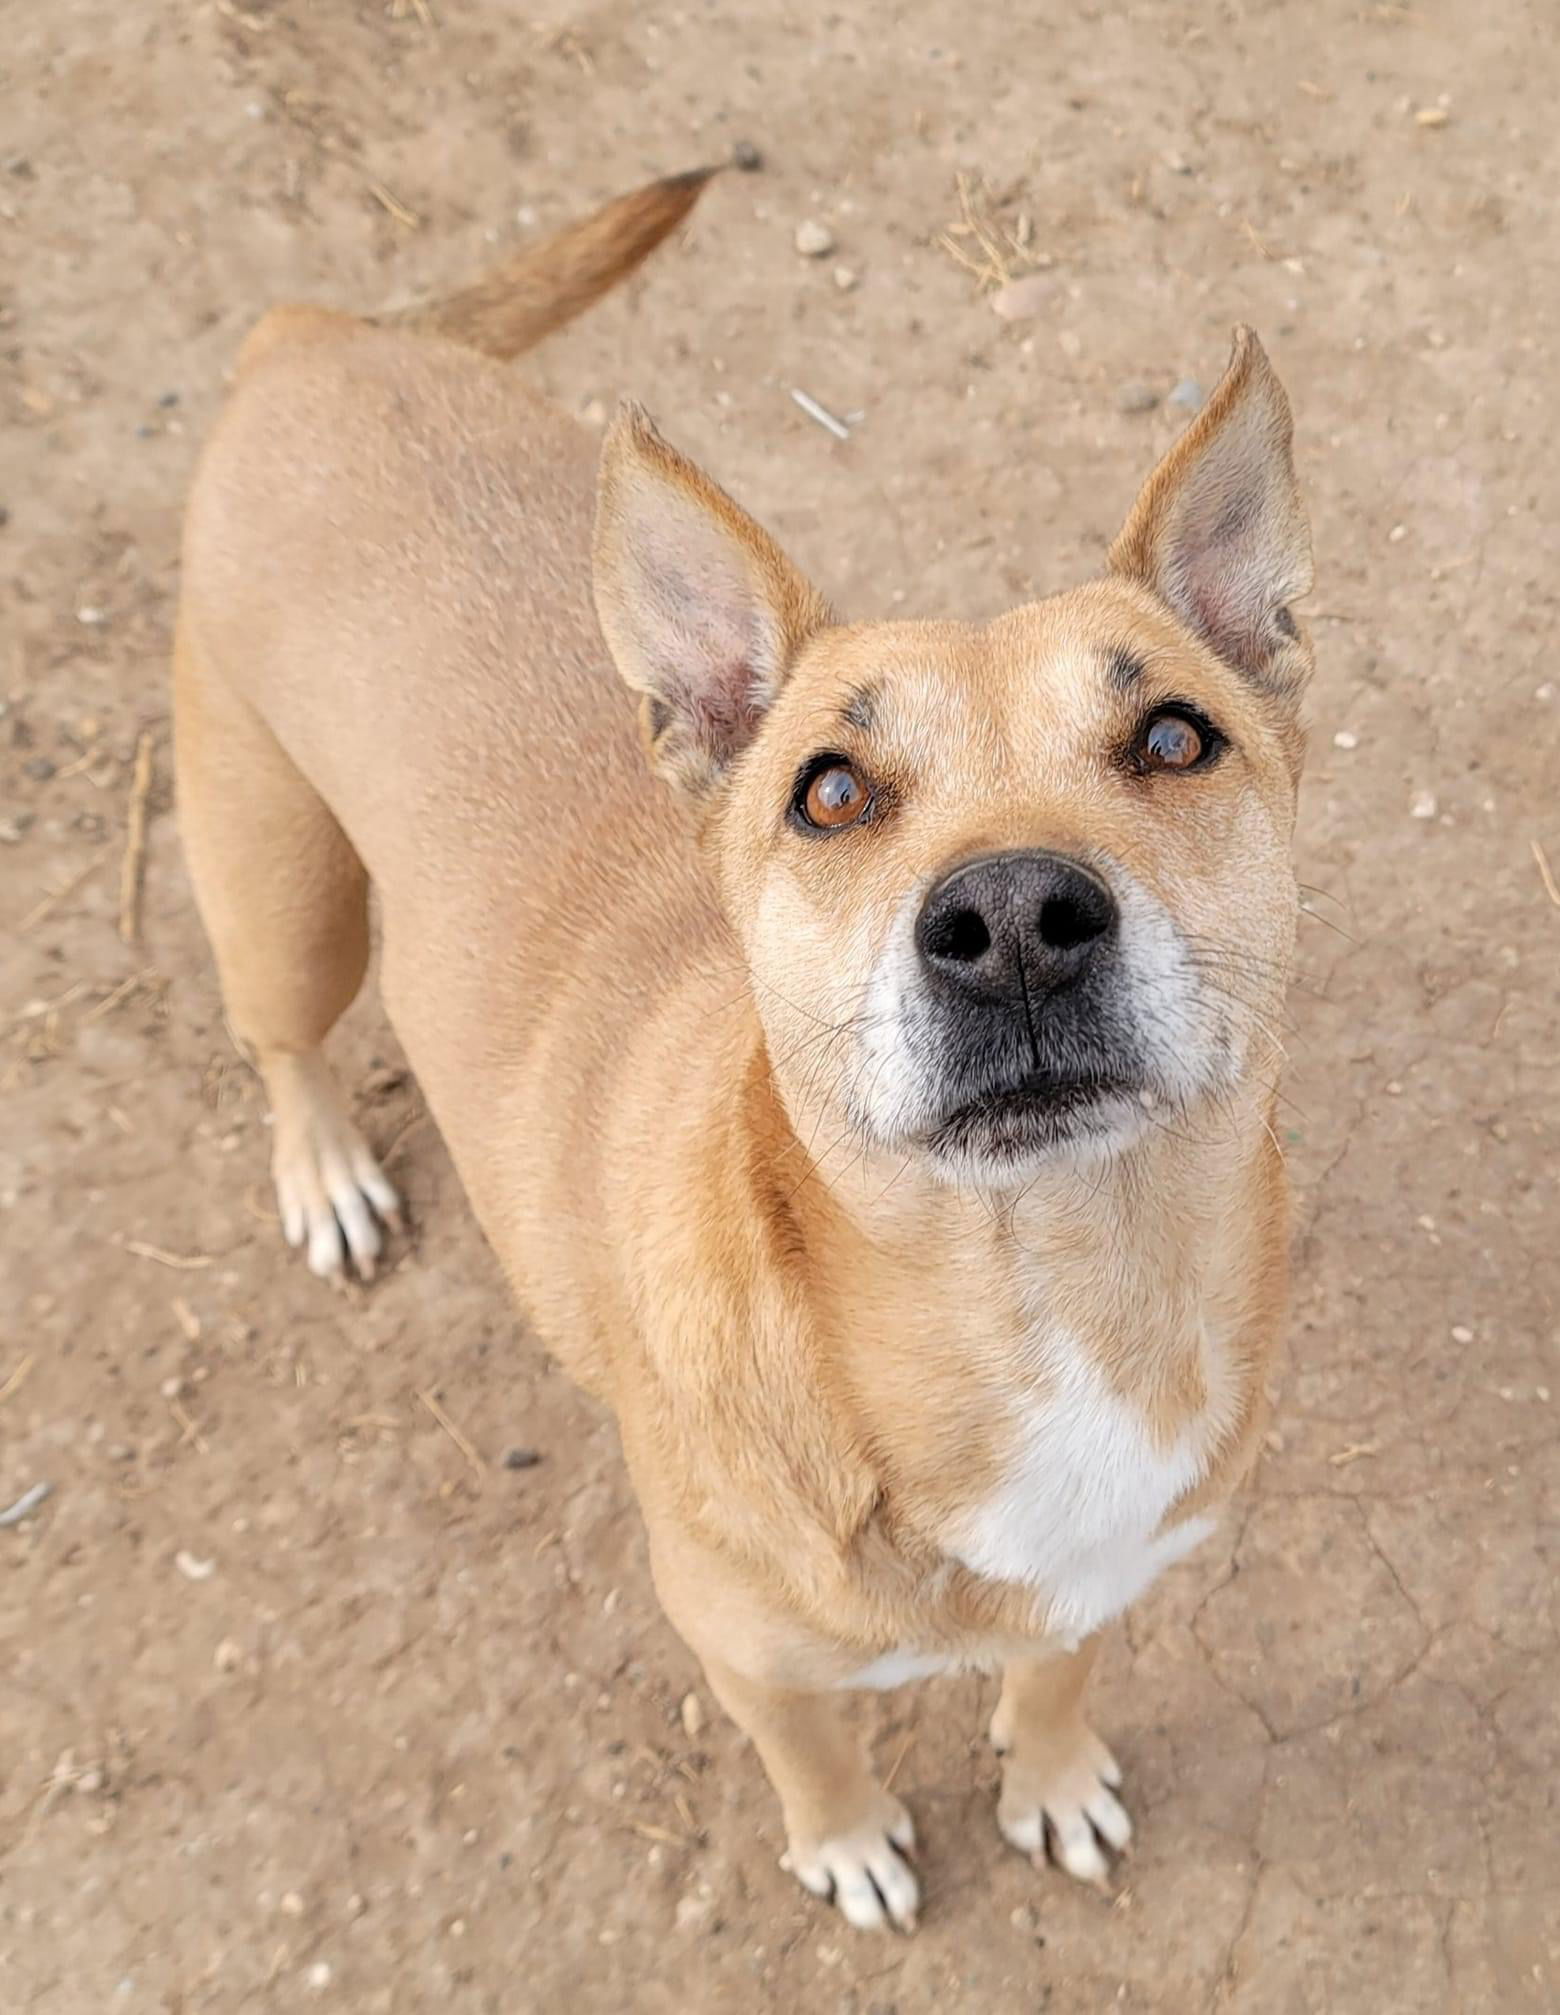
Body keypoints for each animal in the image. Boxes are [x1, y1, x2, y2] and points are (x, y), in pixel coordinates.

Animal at [177, 173, 1314, 1934]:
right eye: (831, 790)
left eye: (1175, 736)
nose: (1013, 919)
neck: (1038, 1295)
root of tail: (312, 338)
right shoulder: (745, 1652)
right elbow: (817, 1753)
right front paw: (848, 1840)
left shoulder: (1107, 1576)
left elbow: (1055, 1672)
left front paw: (1051, 1774)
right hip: (279, 884)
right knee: (283, 1039)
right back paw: (327, 1173)